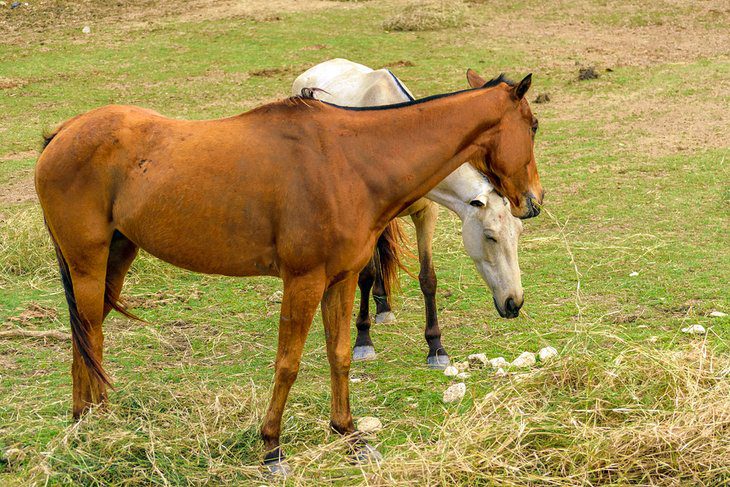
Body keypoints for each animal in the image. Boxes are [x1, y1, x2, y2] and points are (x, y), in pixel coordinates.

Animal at [292, 59, 524, 368]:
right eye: (490, 236)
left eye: (518, 234)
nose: (514, 303)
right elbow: (366, 274)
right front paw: (363, 340)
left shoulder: (426, 214)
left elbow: (428, 278)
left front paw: (436, 348)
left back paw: (383, 306)